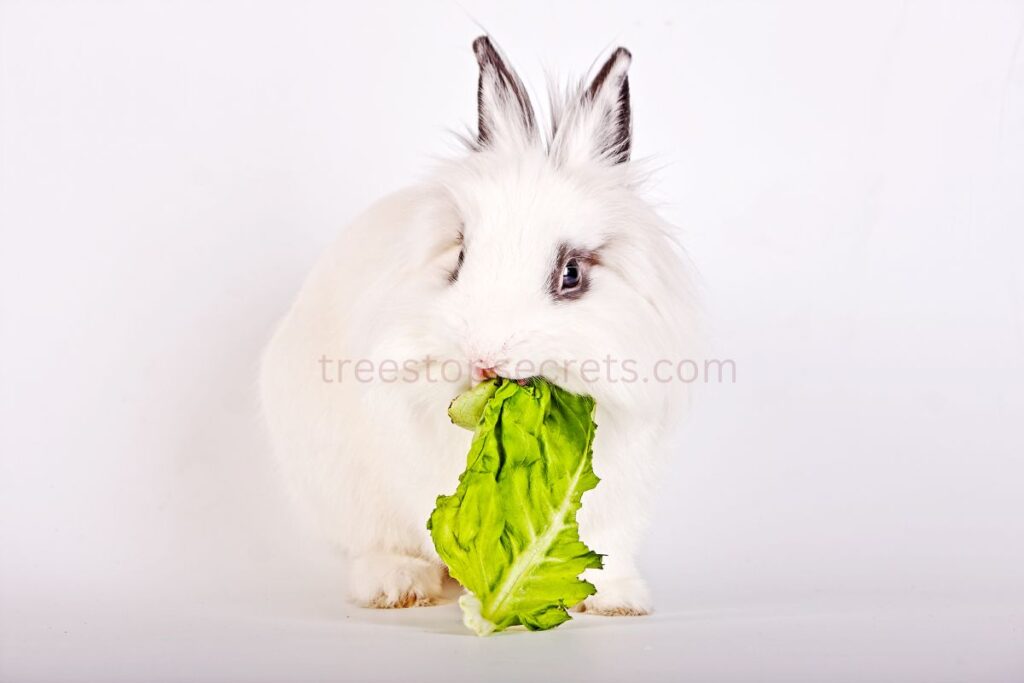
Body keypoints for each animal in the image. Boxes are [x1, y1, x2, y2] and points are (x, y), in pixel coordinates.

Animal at [260, 36, 697, 615]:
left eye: (571, 274)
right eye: (461, 258)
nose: (483, 361)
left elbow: (609, 548)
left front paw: (618, 601)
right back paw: (396, 587)